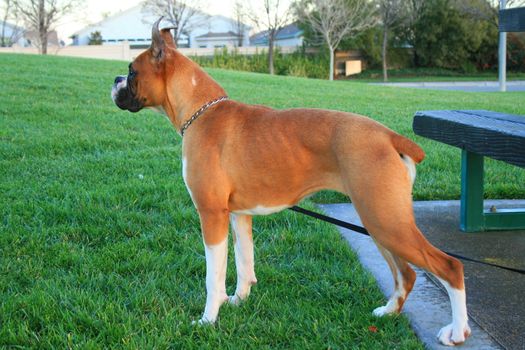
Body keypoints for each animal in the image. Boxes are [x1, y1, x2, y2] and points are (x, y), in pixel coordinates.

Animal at [110, 18, 470, 344]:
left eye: (132, 71)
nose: (115, 79)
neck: (202, 111)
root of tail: (389, 136)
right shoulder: (239, 216)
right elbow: (244, 263)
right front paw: (238, 301)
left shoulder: (211, 215)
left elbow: (214, 276)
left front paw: (208, 319)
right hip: (380, 222)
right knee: (405, 273)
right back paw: (388, 312)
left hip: (387, 221)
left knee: (450, 266)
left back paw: (457, 331)